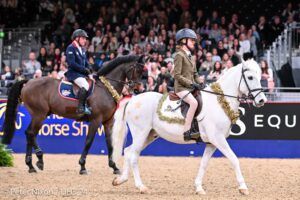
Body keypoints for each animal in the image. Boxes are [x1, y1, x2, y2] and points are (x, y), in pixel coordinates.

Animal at [2, 55, 145, 175]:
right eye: (138, 70)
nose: (138, 89)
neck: (106, 88)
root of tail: (28, 82)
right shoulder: (96, 120)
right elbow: (88, 141)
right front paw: (82, 167)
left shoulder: (108, 122)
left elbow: (110, 143)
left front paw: (114, 167)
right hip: (39, 115)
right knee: (31, 133)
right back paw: (37, 161)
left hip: (41, 115)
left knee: (30, 134)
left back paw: (33, 164)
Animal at [110, 58, 268, 195]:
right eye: (250, 77)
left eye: (260, 76)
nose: (262, 100)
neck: (220, 101)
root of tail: (132, 100)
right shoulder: (218, 139)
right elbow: (234, 159)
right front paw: (243, 187)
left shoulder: (211, 143)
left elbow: (204, 164)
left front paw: (199, 188)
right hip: (140, 133)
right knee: (133, 155)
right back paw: (140, 186)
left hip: (150, 135)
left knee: (129, 151)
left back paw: (120, 180)